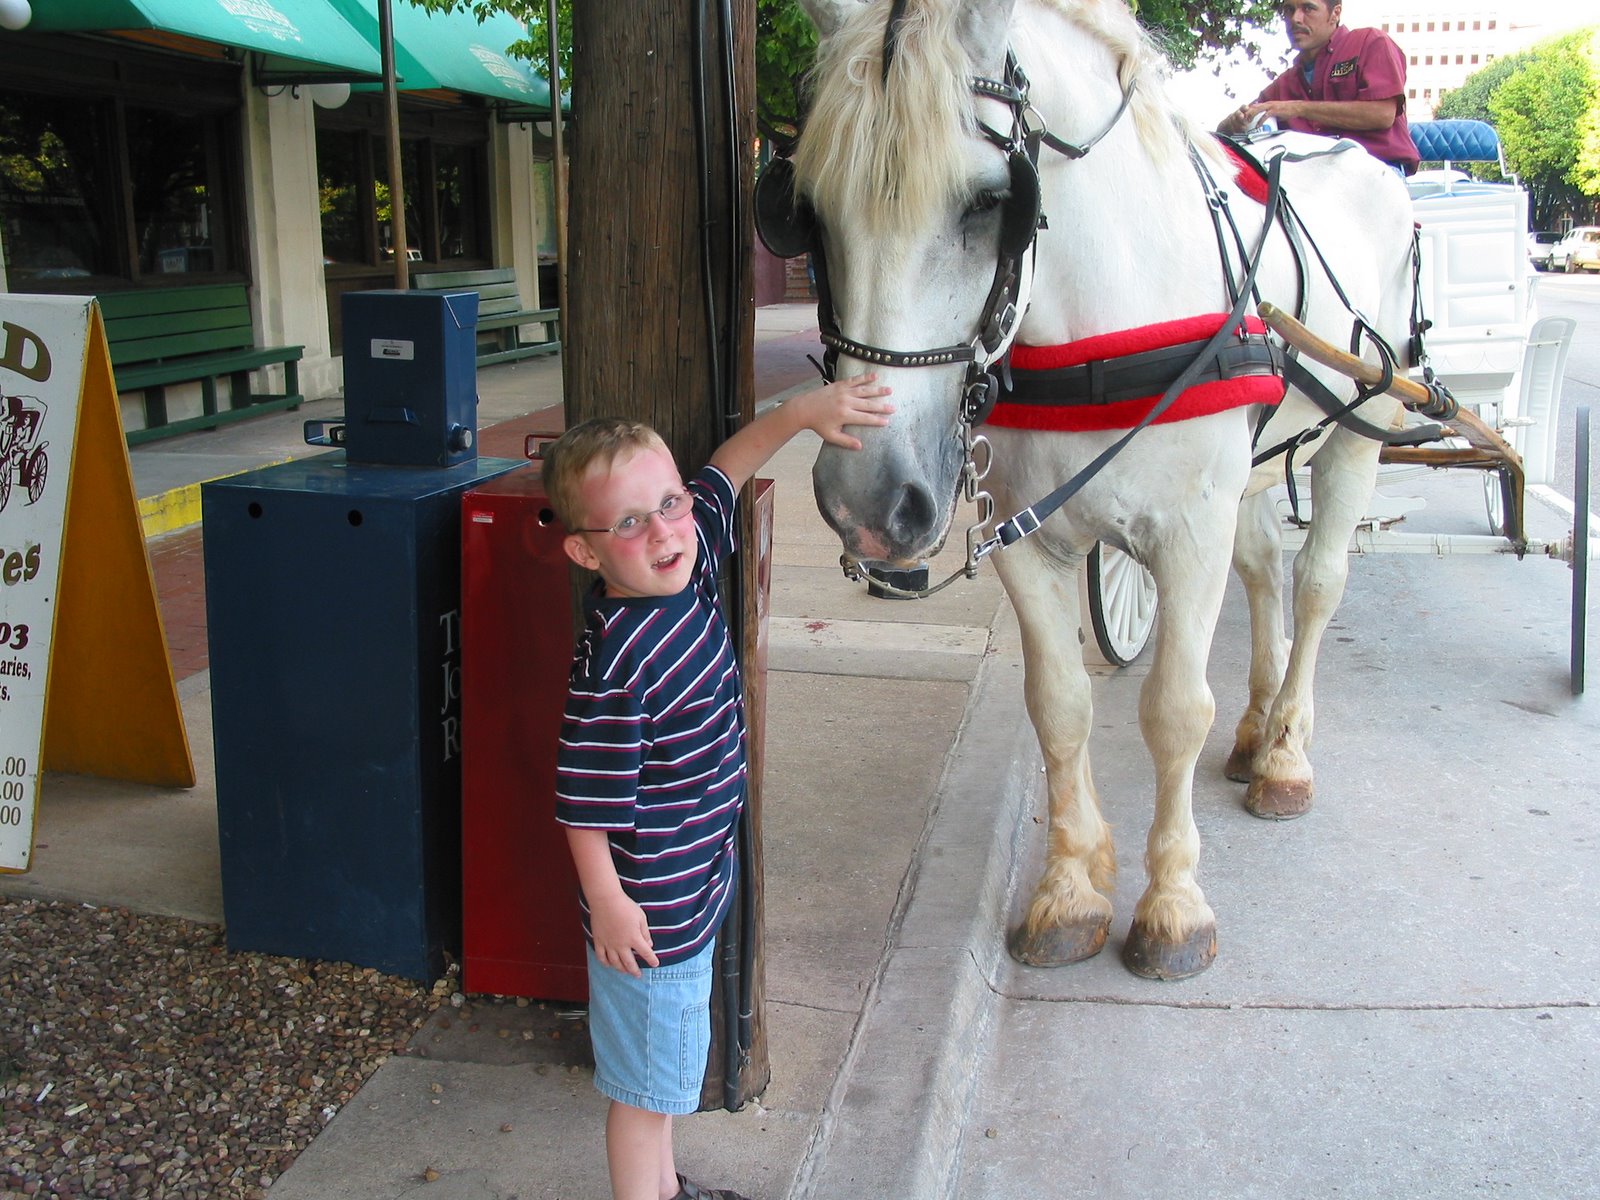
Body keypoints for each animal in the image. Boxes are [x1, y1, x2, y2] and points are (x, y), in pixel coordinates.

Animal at [770, 0, 1419, 978]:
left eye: (990, 204)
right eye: (806, 211)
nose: (869, 504)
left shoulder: (1190, 532)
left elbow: (1175, 710)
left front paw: (1174, 905)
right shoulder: (1025, 537)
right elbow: (1060, 705)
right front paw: (1072, 888)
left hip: (1357, 428)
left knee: (1314, 587)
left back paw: (1285, 754)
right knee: (1266, 570)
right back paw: (1256, 729)